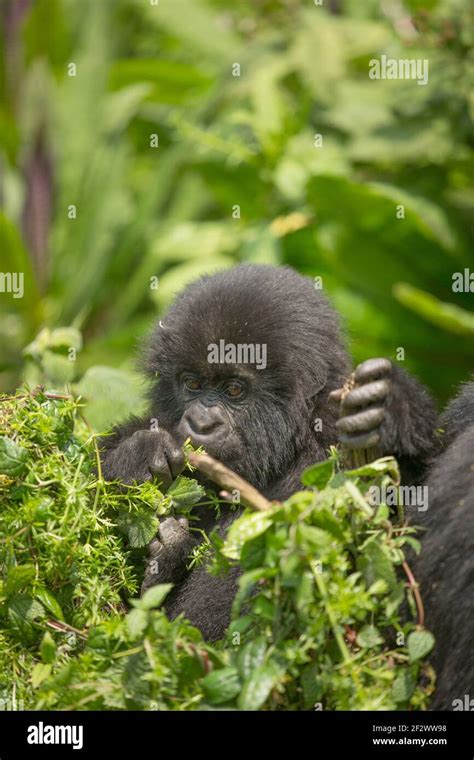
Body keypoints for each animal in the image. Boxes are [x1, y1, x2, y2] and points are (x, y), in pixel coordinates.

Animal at [101, 264, 436, 640]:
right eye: (192, 384)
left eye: (234, 390)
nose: (201, 423)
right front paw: (137, 456)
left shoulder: (333, 429)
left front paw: (393, 409)